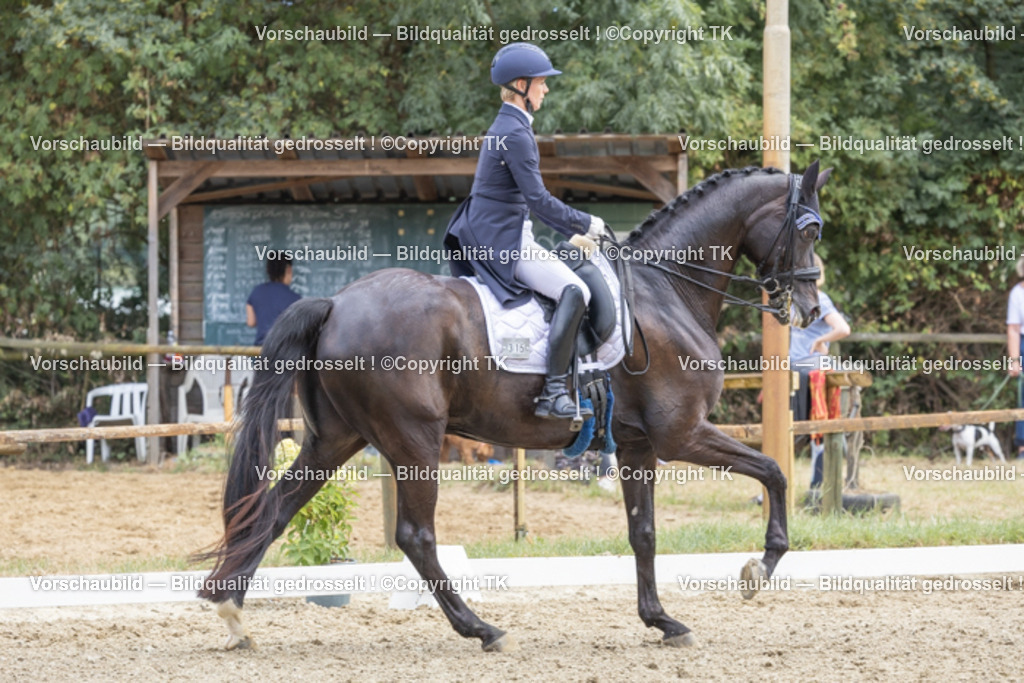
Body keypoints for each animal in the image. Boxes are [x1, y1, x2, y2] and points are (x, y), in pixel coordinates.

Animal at [197, 161, 832, 652]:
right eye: (810, 229)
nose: (808, 308)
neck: (664, 291)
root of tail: (333, 303)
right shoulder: (682, 434)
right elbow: (774, 472)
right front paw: (759, 569)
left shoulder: (637, 445)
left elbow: (644, 532)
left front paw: (662, 620)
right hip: (414, 441)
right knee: (415, 536)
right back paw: (481, 629)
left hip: (335, 438)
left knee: (274, 510)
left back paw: (231, 610)